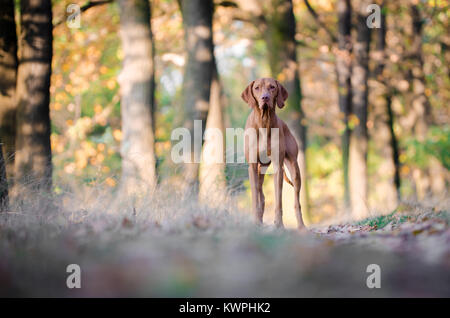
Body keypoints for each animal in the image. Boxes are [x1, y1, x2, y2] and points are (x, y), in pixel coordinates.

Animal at [243, 78, 306, 230]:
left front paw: (279, 224)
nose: (265, 97)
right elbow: (255, 197)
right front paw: (255, 221)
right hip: (260, 170)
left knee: (297, 201)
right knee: (261, 194)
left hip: (295, 170)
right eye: (257, 88)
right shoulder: (252, 166)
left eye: (272, 87)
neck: (264, 122)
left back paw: (301, 226)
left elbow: (278, 200)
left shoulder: (278, 167)